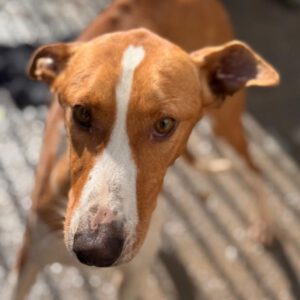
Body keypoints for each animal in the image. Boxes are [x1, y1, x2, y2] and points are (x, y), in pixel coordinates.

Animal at [4, 1, 280, 298]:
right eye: (82, 113)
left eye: (165, 123)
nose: (95, 249)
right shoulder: (27, 261)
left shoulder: (134, 274)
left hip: (226, 127)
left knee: (255, 168)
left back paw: (265, 222)